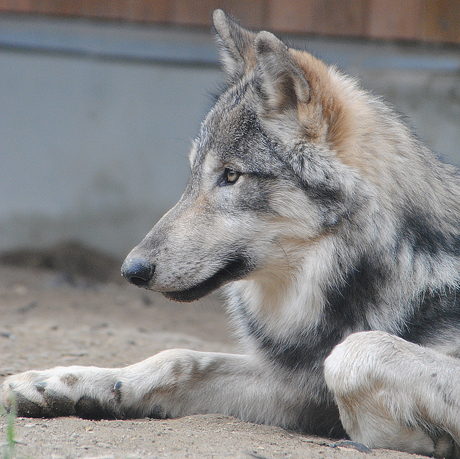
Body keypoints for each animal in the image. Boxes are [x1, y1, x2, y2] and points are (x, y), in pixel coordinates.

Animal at [2, 10, 460, 459]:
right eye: (193, 175)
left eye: (231, 175)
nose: (131, 269)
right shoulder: (297, 381)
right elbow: (178, 359)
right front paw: (56, 384)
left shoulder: (343, 363)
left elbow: (355, 353)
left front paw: (420, 437)